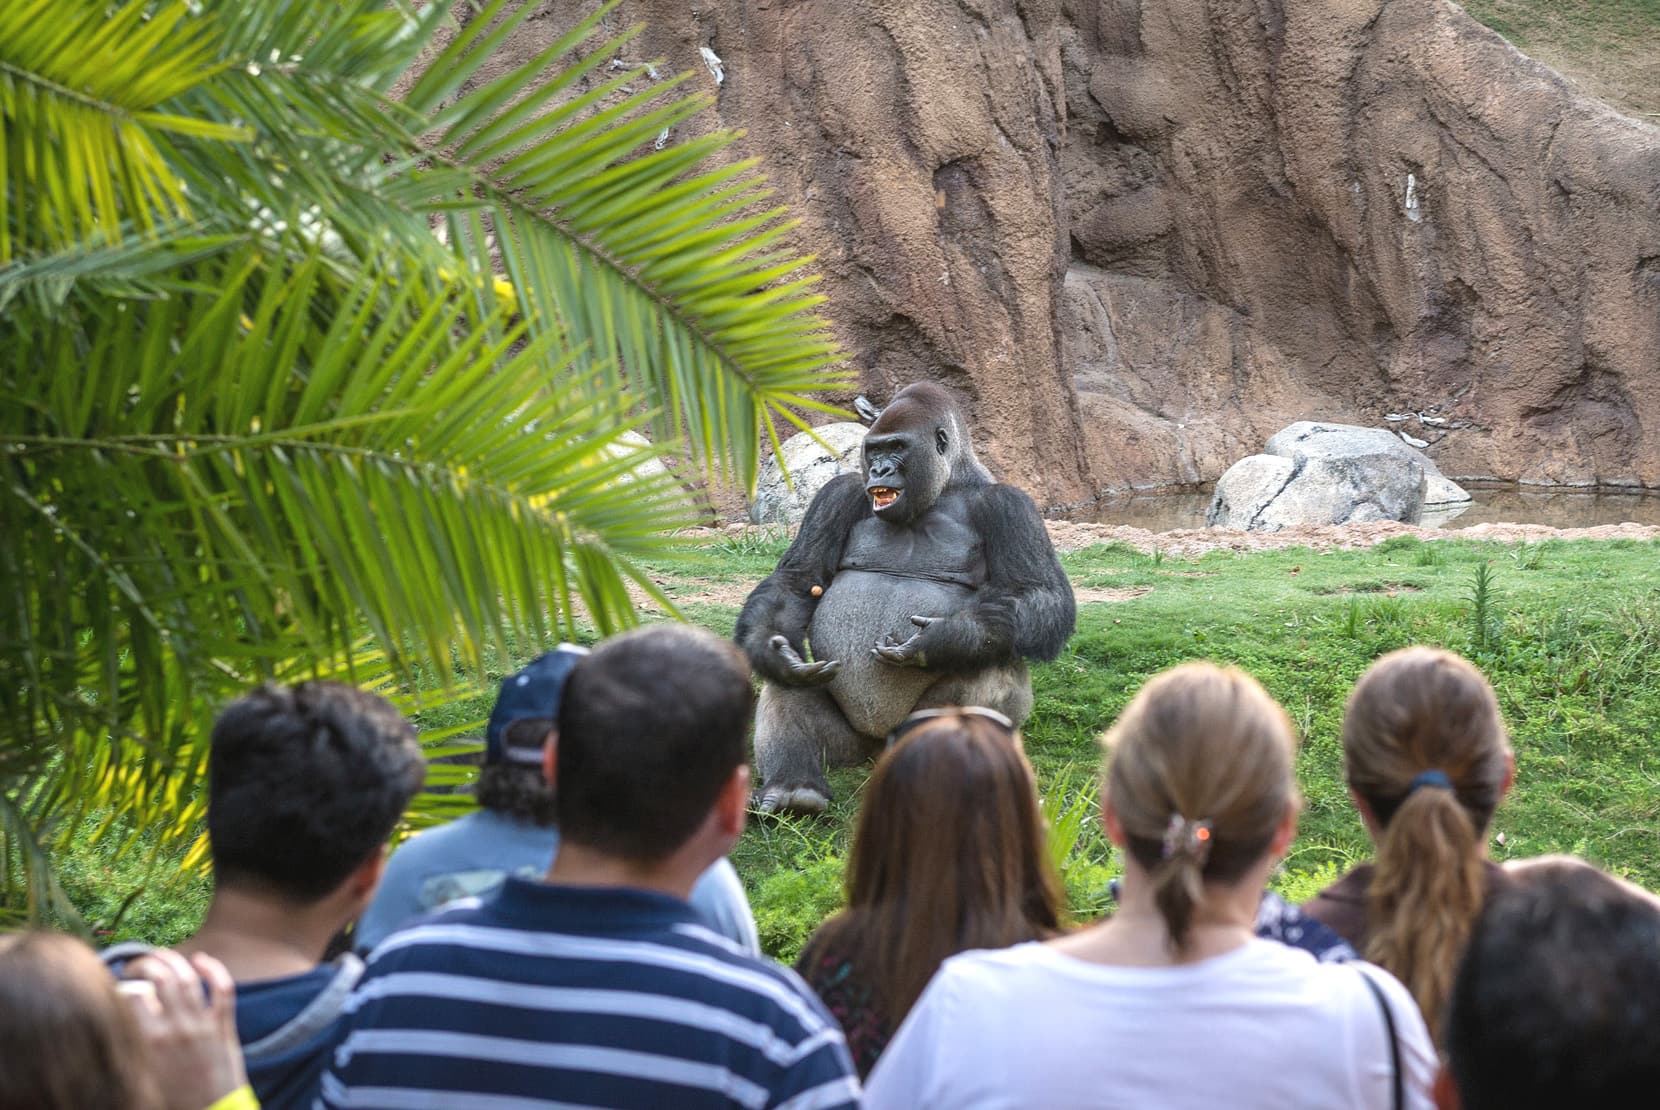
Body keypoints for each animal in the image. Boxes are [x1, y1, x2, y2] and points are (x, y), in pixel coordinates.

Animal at [737, 383, 1075, 813]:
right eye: (874, 450)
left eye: (896, 447)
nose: (880, 470)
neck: (948, 485)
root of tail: (878, 746)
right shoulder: (837, 494)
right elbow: (798, 581)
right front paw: (770, 650)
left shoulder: (1012, 506)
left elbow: (1041, 596)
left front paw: (949, 636)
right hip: (850, 747)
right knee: (789, 683)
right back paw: (794, 787)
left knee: (990, 661)